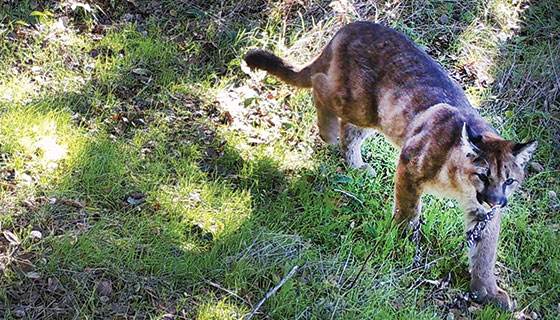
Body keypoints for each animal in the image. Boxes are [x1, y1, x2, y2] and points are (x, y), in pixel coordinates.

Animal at [243, 20, 536, 310]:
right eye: (483, 175)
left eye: (509, 181)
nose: (496, 200)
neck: (459, 185)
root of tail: (352, 26)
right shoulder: (410, 163)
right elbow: (409, 208)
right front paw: (405, 237)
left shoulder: (483, 213)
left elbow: (486, 253)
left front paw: (487, 292)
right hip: (358, 102)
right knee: (319, 85)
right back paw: (328, 133)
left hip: (376, 115)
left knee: (349, 130)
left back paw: (356, 167)